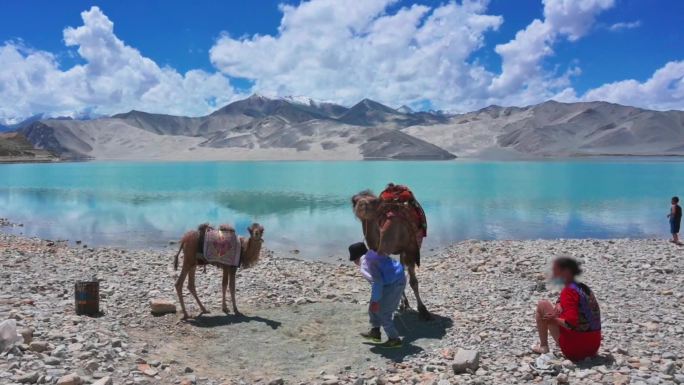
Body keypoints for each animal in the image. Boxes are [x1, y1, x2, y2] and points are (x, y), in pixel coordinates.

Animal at [352, 189, 428, 318]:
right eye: (354, 201)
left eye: (374, 201)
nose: (362, 205)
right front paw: (401, 304)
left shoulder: (409, 250)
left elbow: (412, 281)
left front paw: (423, 310)